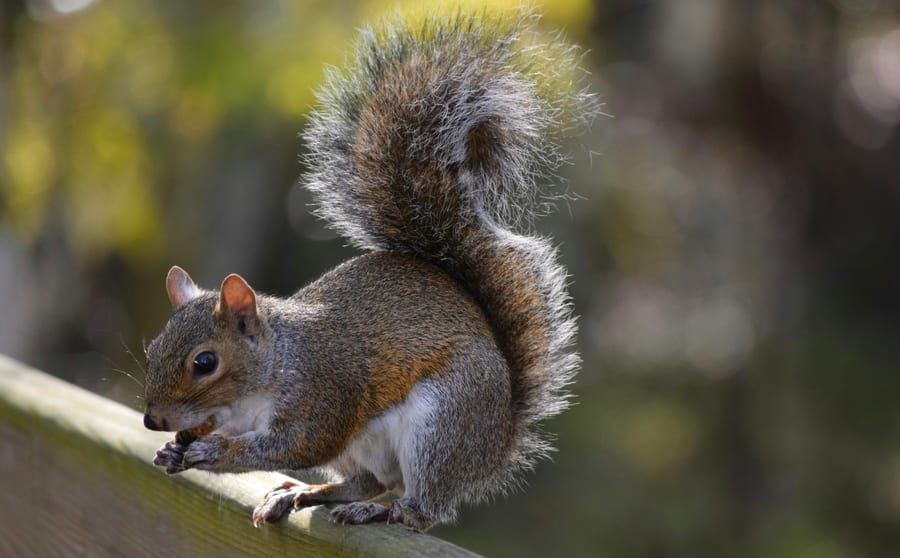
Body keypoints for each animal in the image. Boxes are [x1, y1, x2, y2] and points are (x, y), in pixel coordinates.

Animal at [143, 7, 593, 531]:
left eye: (205, 363)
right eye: (152, 349)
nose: (153, 419)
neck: (272, 366)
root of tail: (497, 440)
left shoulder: (324, 394)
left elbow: (299, 443)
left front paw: (214, 452)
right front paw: (173, 450)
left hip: (441, 425)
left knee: (420, 507)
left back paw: (386, 512)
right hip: (365, 450)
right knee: (370, 480)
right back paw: (306, 492)